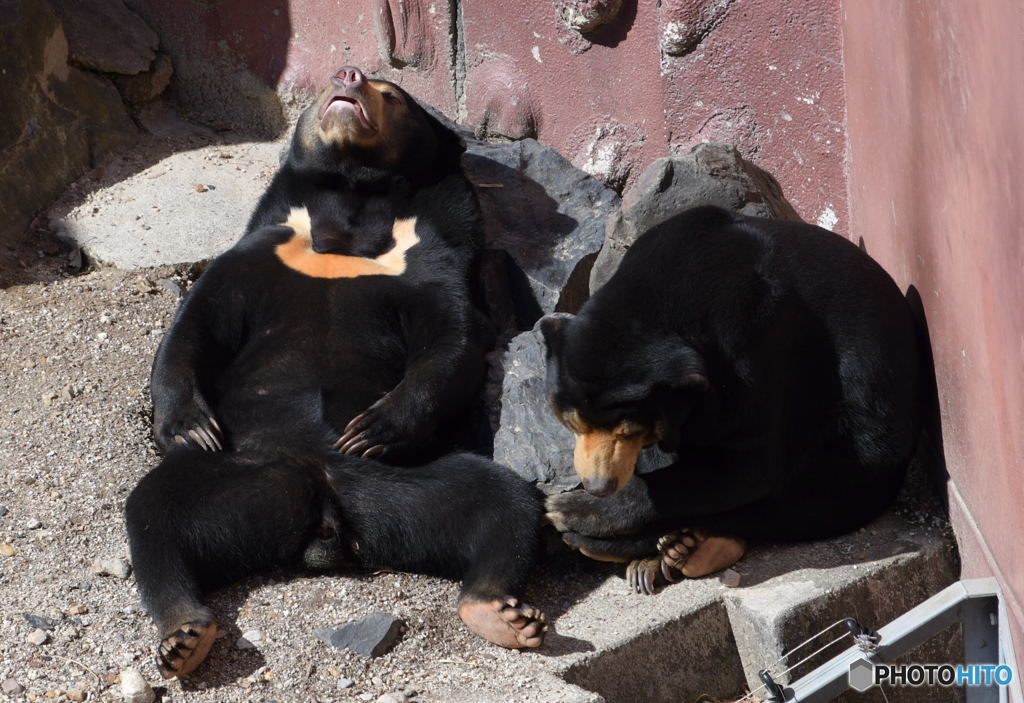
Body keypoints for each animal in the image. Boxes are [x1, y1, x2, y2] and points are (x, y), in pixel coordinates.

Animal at [122, 68, 544, 679]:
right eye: (330, 83)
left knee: (502, 501)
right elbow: (194, 325)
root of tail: (322, 505)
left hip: (408, 486)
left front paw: (369, 429)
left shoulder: (431, 256)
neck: (351, 207)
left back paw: (501, 613)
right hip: (236, 479)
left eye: (390, 94)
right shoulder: (262, 250)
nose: (348, 74)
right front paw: (190, 428)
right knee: (155, 516)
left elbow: (454, 335)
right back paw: (184, 635)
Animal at [548, 204, 925, 593]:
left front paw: (569, 510)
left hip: (861, 445)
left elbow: (750, 462)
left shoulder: (756, 342)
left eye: (628, 430)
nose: (598, 486)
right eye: (571, 423)